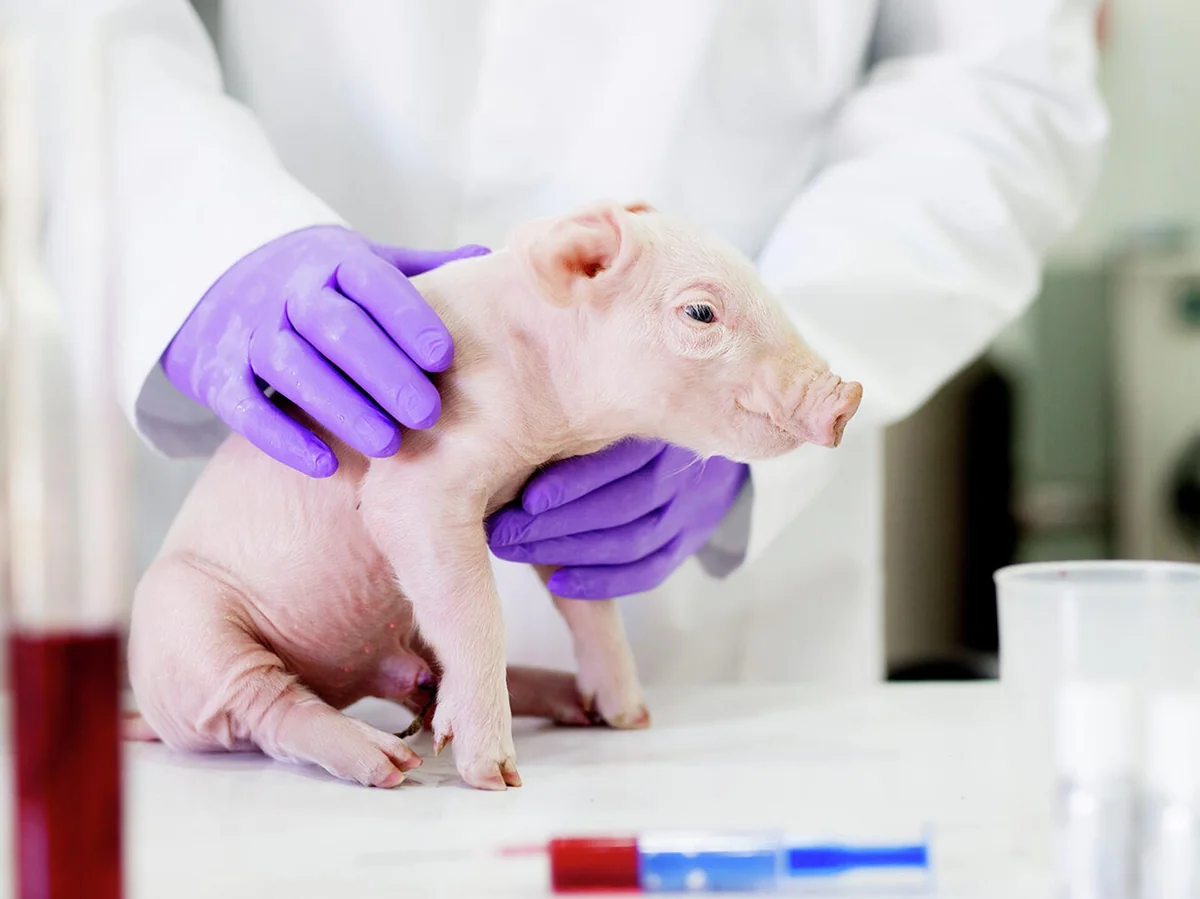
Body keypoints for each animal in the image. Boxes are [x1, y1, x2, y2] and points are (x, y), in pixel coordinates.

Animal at [124, 201, 863, 791]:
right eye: (702, 311)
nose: (848, 396)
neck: (551, 414)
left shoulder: (548, 503)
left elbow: (587, 605)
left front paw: (630, 717)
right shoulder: (417, 484)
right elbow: (477, 609)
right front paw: (497, 778)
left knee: (422, 676)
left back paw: (574, 706)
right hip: (185, 629)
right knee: (268, 706)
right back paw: (390, 764)